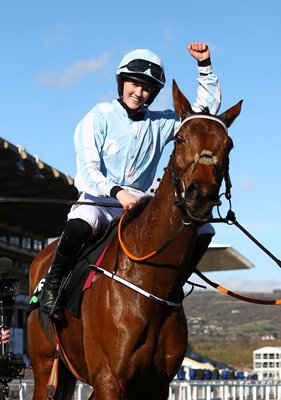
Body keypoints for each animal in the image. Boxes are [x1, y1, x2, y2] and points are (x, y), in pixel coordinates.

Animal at [27, 81, 241, 400]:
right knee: (79, 225)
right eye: (179, 139)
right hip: (43, 367)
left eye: (228, 145)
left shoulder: (157, 384)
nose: (199, 195)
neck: (150, 282)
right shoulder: (108, 379)